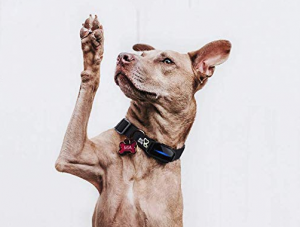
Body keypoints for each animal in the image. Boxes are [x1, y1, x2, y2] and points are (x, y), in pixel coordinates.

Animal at [54, 15, 232, 226]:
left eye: (167, 61)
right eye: (143, 54)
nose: (122, 56)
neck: (147, 142)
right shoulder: (73, 154)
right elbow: (89, 84)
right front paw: (92, 51)